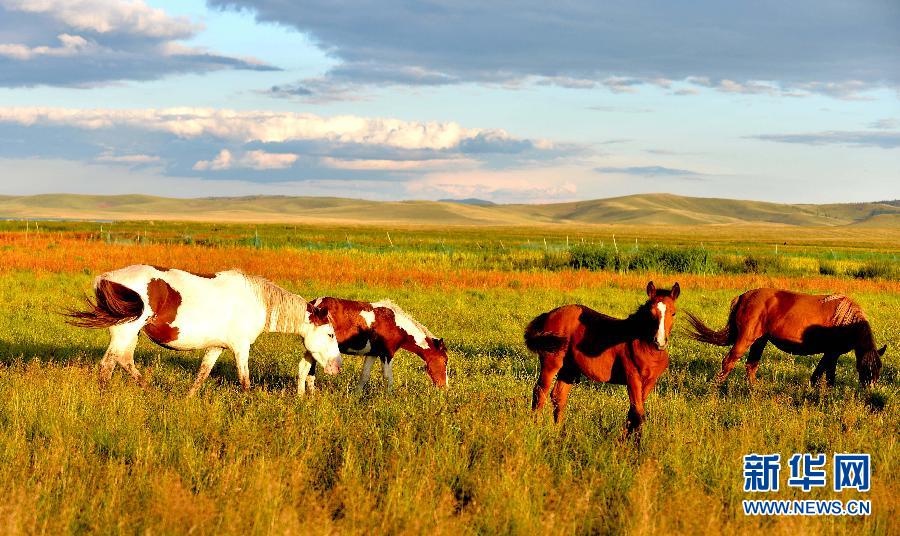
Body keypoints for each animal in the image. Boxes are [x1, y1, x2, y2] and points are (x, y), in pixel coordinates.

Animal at [65, 264, 342, 394]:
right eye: (330, 334)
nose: (337, 367)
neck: (256, 300)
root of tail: (106, 278)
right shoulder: (241, 347)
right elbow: (244, 379)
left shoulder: (216, 347)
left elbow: (202, 375)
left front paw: (187, 399)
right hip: (125, 332)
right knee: (107, 365)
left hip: (130, 333)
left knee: (123, 361)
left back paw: (149, 390)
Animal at [524, 280, 680, 440]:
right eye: (650, 313)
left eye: (673, 313)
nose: (659, 342)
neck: (644, 346)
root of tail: (548, 315)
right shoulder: (632, 378)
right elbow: (638, 413)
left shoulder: (650, 381)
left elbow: (633, 412)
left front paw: (625, 440)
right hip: (551, 363)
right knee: (540, 392)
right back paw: (536, 428)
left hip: (569, 369)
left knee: (558, 396)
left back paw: (560, 433)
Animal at [684, 286, 884, 388]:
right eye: (864, 369)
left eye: (878, 371)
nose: (868, 392)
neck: (846, 321)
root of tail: (743, 297)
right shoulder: (831, 353)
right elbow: (825, 375)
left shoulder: (831, 354)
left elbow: (823, 374)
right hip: (746, 339)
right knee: (729, 361)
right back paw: (715, 389)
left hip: (760, 341)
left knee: (751, 365)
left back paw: (755, 390)